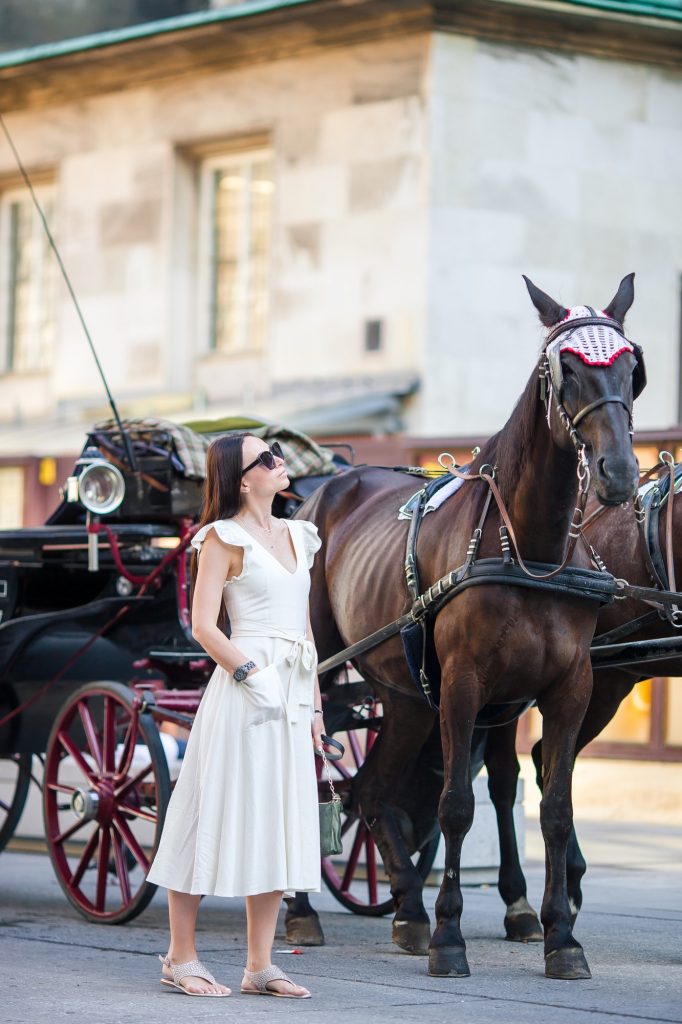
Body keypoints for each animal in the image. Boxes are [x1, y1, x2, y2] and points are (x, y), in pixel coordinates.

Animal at [294, 276, 638, 978]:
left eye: (632, 368)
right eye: (565, 369)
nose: (617, 472)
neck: (529, 546)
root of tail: (328, 485)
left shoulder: (570, 686)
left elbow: (555, 806)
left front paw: (561, 935)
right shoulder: (463, 684)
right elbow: (455, 805)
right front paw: (452, 936)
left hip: (402, 694)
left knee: (372, 790)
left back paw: (406, 908)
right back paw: (302, 910)